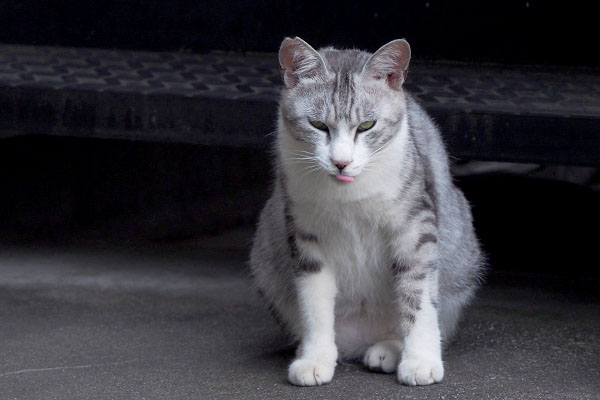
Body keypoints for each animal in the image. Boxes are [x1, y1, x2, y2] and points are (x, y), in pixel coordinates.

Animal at [248, 37, 482, 388]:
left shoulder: (416, 227)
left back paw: (389, 349)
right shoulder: (306, 235)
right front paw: (315, 358)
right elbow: (314, 304)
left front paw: (420, 360)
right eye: (318, 125)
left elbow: (418, 298)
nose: (341, 162)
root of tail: (360, 342)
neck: (348, 197)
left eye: (367, 125)